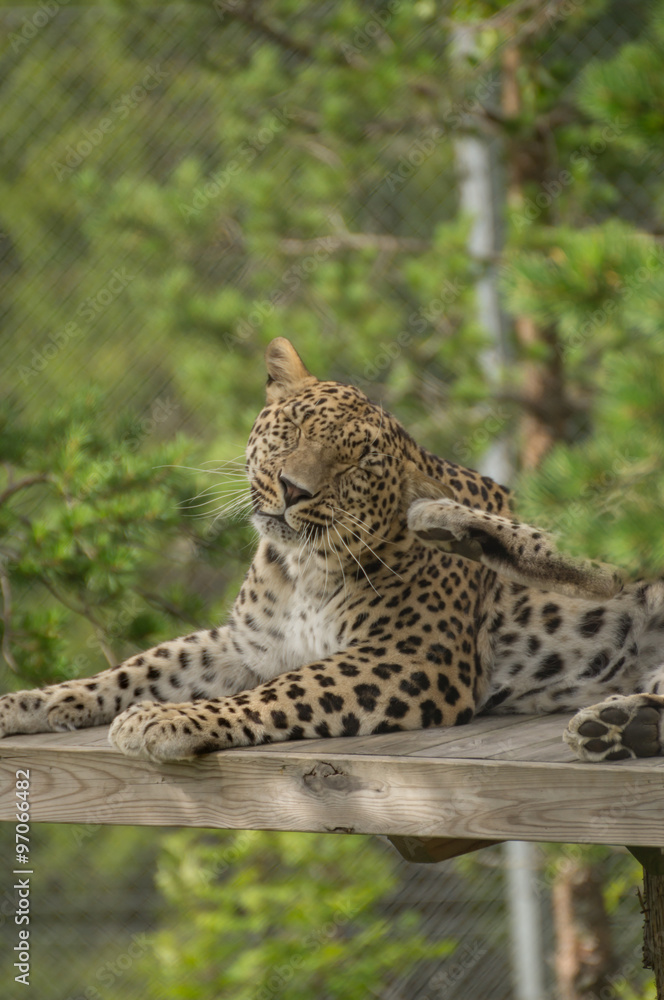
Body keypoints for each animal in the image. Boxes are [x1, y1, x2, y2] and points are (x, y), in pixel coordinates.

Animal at [1, 337, 664, 765]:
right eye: (291, 430)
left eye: (355, 464)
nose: (294, 488)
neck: (299, 568)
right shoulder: (245, 643)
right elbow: (139, 668)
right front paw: (26, 703)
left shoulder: (410, 658)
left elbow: (278, 693)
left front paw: (164, 720)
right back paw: (622, 725)